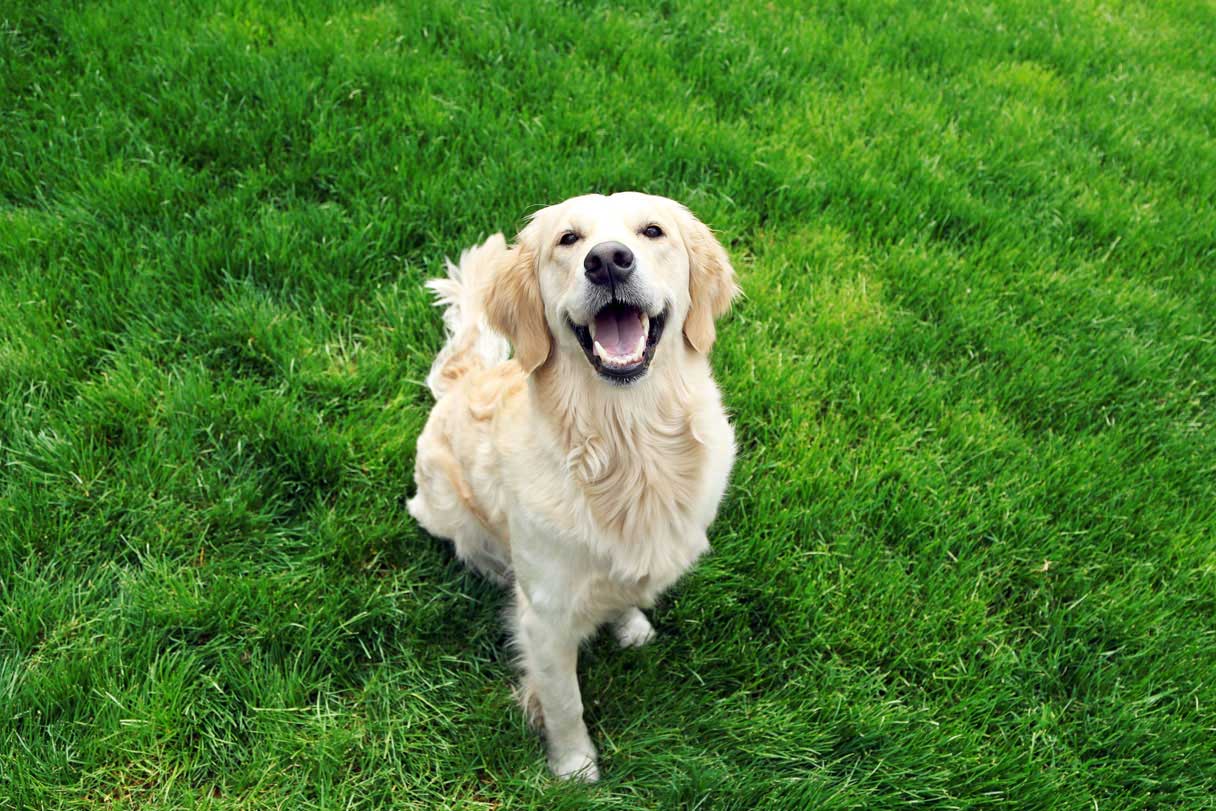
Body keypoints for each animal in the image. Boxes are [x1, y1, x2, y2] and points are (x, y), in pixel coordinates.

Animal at [408, 192, 734, 778]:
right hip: (445, 508)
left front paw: (630, 623)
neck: (627, 446)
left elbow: (623, 587)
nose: (607, 261)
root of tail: (462, 381)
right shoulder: (545, 618)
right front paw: (575, 768)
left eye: (653, 231)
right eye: (568, 239)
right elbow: (564, 702)